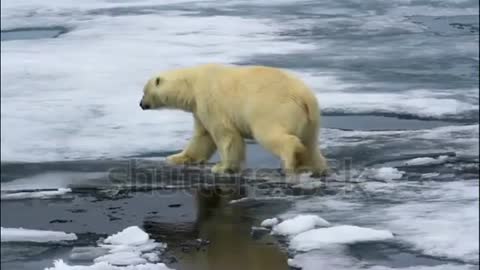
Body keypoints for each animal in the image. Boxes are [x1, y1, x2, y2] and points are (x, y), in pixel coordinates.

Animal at [137, 64, 328, 176]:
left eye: (144, 91)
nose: (141, 104)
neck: (192, 84)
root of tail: (304, 97)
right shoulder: (199, 109)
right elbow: (202, 136)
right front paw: (176, 158)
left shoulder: (210, 101)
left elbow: (225, 135)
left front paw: (222, 167)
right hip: (311, 120)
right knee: (311, 143)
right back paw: (315, 167)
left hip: (271, 110)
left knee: (272, 135)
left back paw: (290, 160)